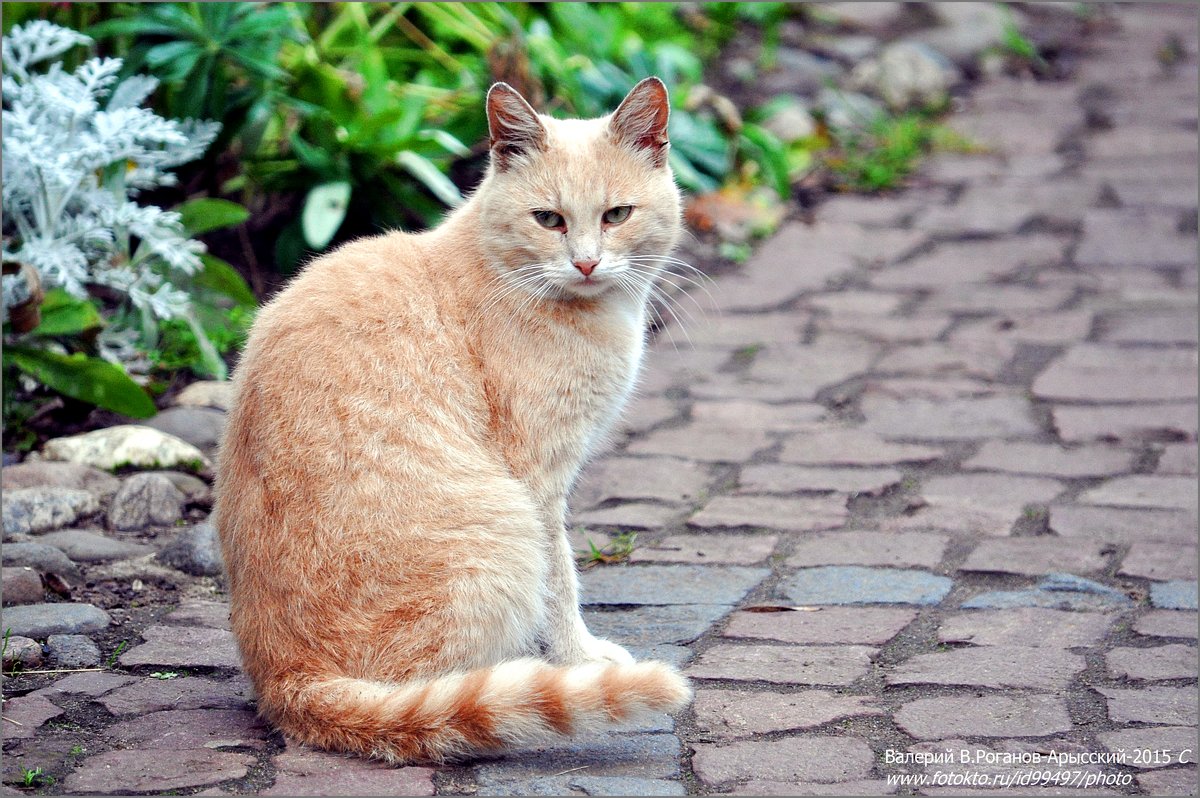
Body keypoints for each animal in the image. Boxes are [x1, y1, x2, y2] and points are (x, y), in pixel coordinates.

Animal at [211, 78, 691, 763]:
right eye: (549, 220)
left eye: (616, 216)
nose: (586, 263)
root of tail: (284, 678)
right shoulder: (540, 482)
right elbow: (563, 580)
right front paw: (579, 659)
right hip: (505, 527)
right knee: (437, 697)